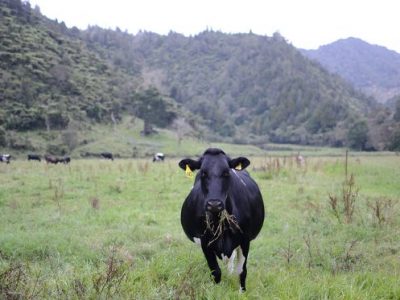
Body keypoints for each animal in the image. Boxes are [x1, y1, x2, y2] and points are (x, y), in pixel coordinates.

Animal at [180, 149, 264, 292]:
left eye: (226, 172)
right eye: (203, 173)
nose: (214, 204)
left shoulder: (245, 240)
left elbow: (242, 271)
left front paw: (242, 292)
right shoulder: (205, 242)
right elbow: (215, 272)